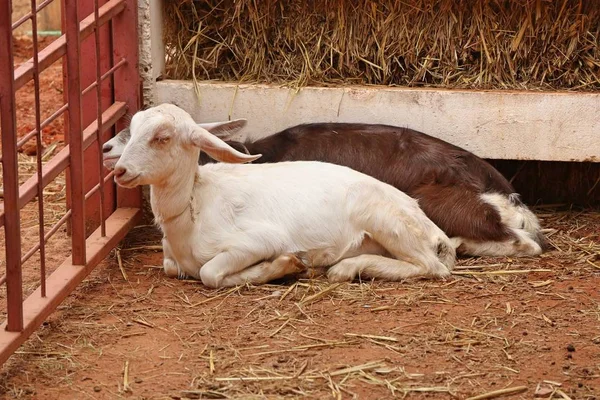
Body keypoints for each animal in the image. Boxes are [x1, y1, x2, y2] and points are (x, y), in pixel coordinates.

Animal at [115, 104, 458, 288]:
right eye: (132, 130)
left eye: (162, 137)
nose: (119, 171)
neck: (191, 213)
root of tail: (434, 230)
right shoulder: (170, 258)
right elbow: (170, 267)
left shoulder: (260, 239)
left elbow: (209, 273)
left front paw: (285, 265)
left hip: (387, 220)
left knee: (431, 267)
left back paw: (344, 268)